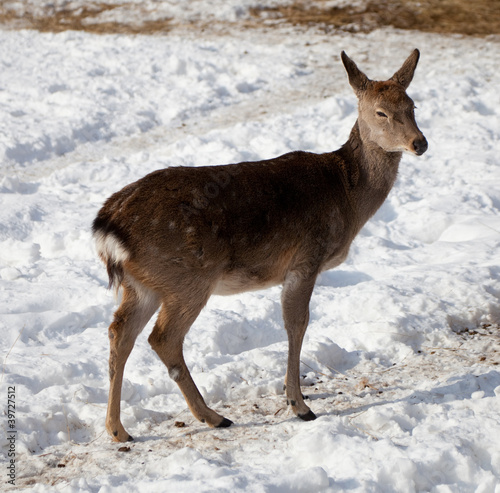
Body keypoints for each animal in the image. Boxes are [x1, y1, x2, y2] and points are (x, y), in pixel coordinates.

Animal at [94, 51, 430, 442]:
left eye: (412, 105)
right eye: (380, 112)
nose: (420, 143)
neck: (347, 196)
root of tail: (108, 226)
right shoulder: (306, 258)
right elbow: (297, 324)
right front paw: (299, 404)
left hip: (143, 283)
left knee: (120, 332)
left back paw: (118, 429)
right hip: (187, 277)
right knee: (163, 338)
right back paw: (212, 416)